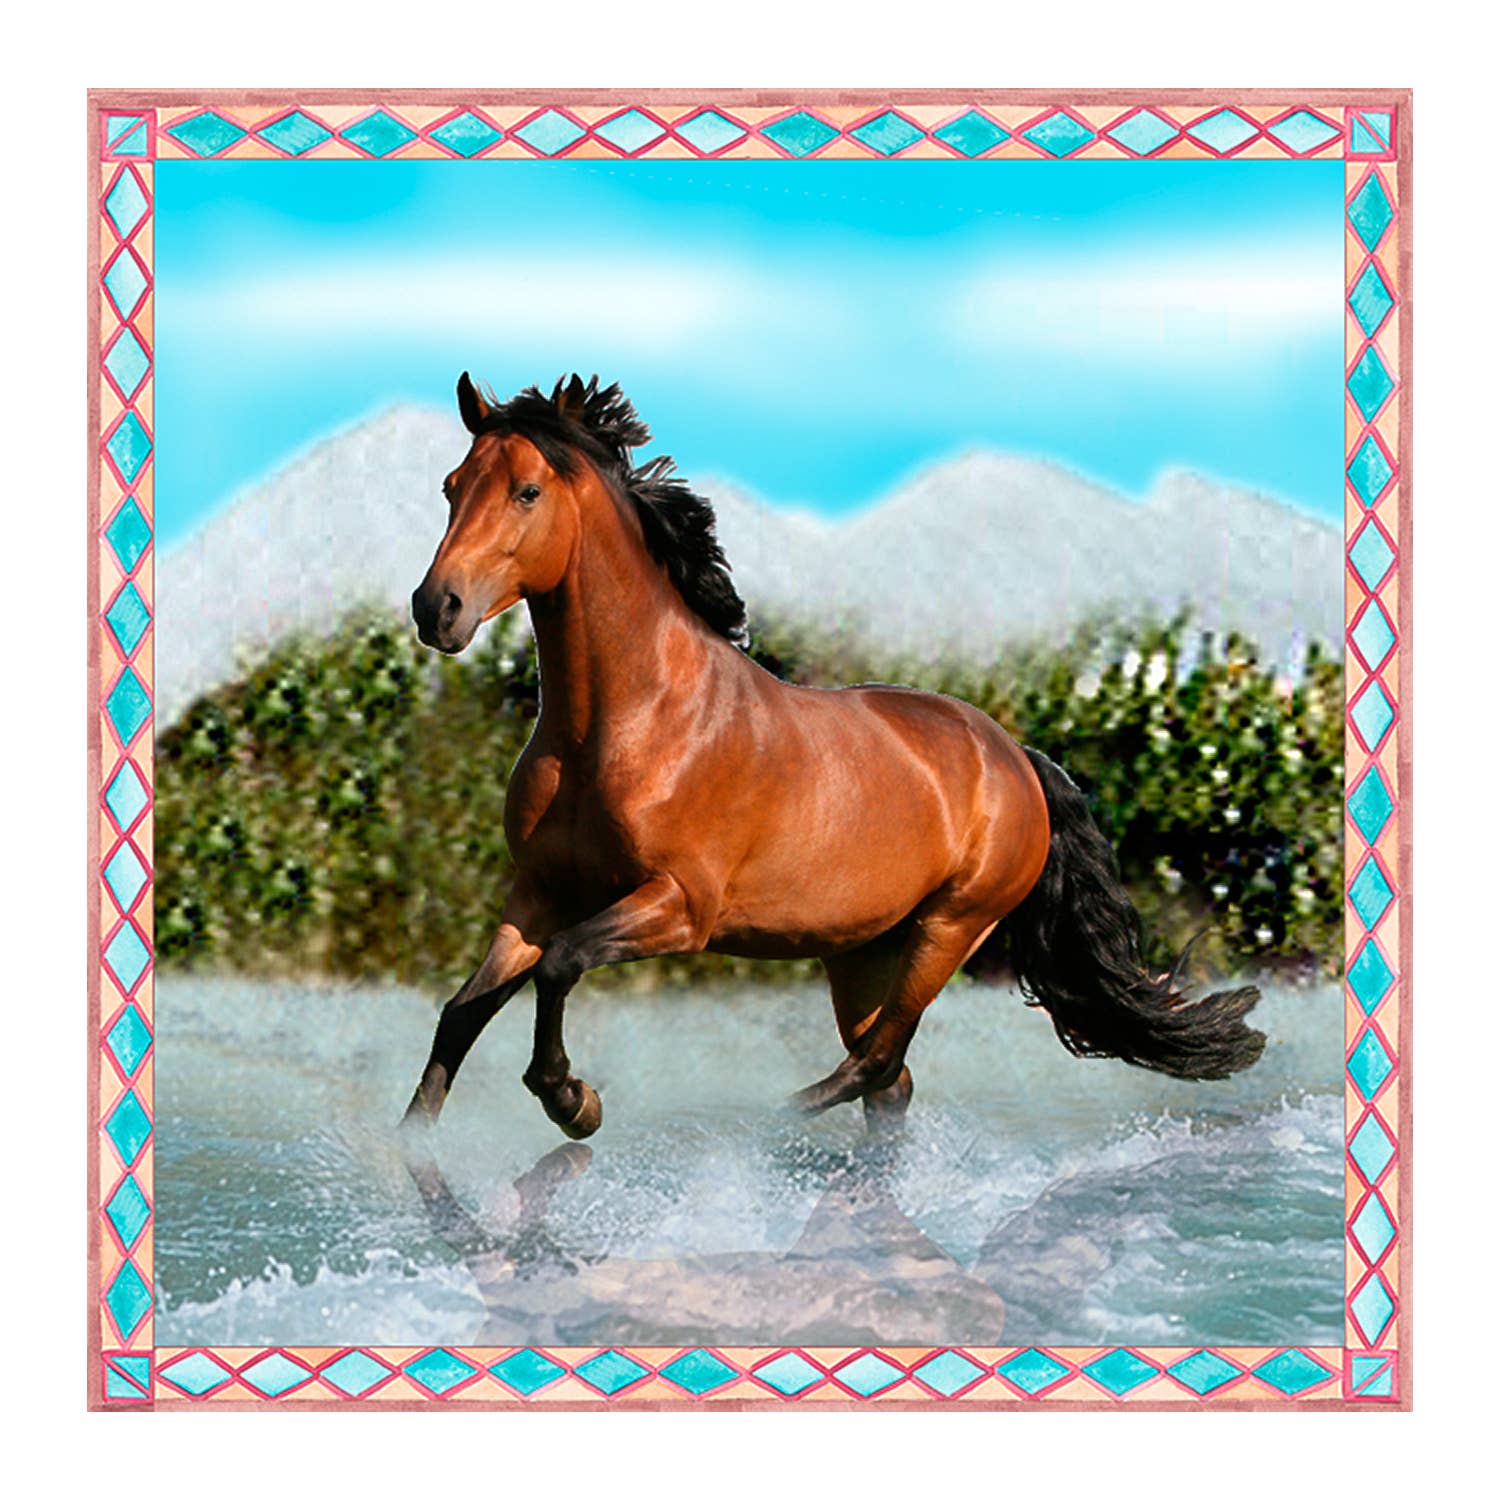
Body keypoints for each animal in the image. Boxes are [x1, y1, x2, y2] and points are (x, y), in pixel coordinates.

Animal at [402, 373, 1263, 1143]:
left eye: (526, 492)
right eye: (451, 486)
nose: (436, 608)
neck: (625, 724)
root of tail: (1015, 756)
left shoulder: (680, 906)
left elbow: (560, 966)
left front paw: (573, 1102)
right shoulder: (538, 894)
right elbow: (461, 1013)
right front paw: (416, 1137)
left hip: (949, 929)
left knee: (874, 1064)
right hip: (862, 952)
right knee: (888, 1081)